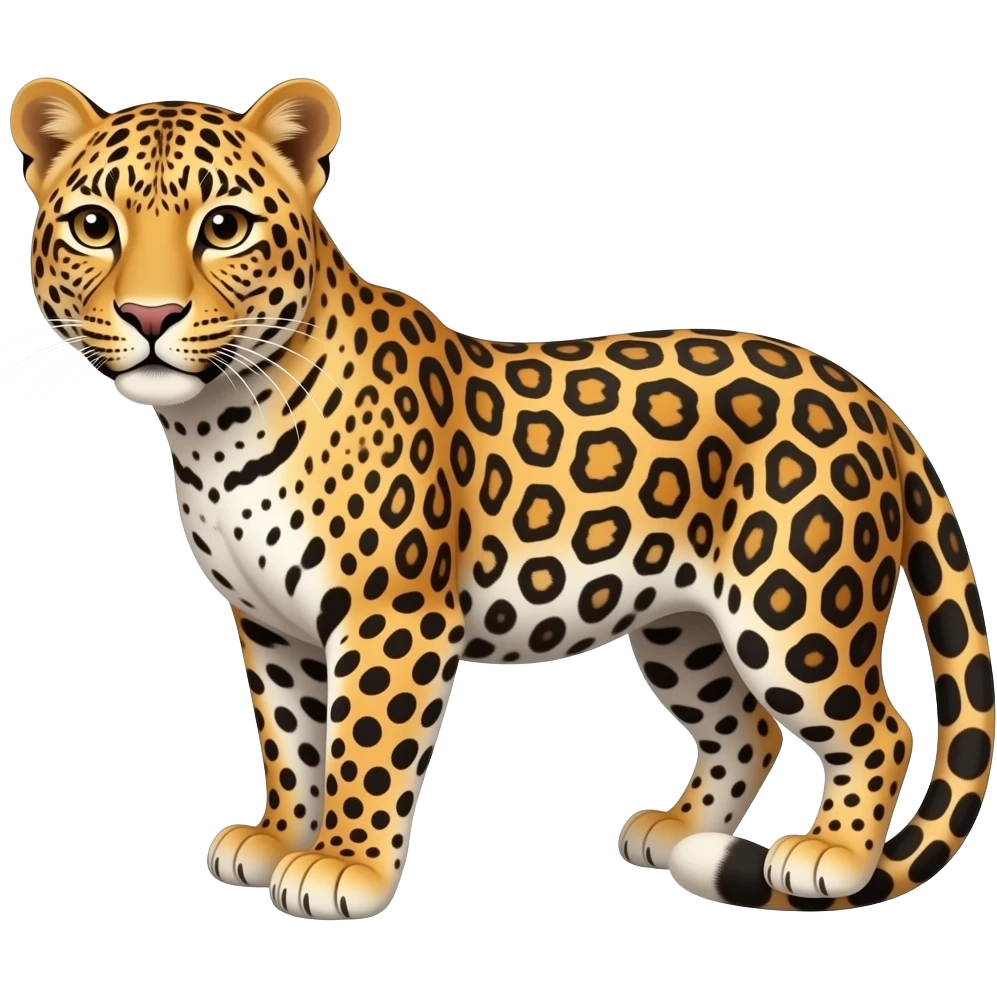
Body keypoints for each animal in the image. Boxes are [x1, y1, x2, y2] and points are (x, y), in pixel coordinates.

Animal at [9, 76, 993, 918]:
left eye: (224, 227)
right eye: (95, 225)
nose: (149, 316)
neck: (214, 424)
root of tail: (866, 395)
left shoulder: (392, 614)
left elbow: (366, 742)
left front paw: (342, 866)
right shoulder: (270, 623)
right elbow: (291, 737)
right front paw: (281, 836)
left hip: (791, 607)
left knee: (881, 726)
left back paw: (830, 852)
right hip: (683, 625)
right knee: (743, 725)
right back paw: (679, 830)